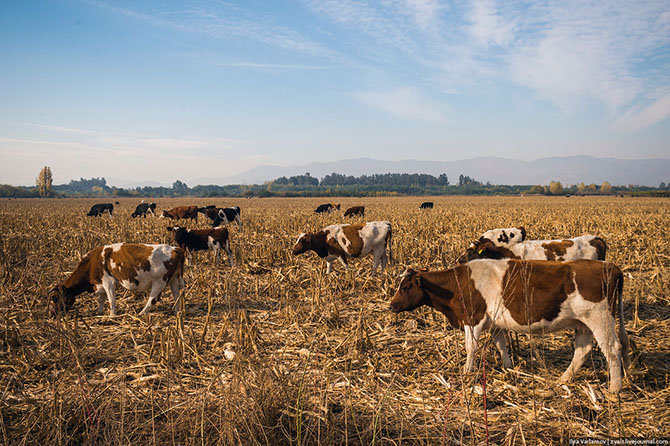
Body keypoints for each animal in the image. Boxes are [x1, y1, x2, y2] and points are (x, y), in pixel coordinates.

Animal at [49, 244, 186, 318]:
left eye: (55, 298)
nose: (52, 314)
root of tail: (174, 249)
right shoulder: (101, 284)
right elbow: (101, 299)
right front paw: (98, 311)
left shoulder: (108, 282)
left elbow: (111, 299)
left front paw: (111, 315)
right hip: (174, 279)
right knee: (176, 295)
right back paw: (176, 311)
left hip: (159, 281)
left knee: (152, 300)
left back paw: (140, 313)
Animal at [392, 260, 632, 392]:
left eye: (405, 287)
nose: (391, 305)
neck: (459, 283)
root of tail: (610, 266)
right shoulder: (495, 323)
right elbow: (502, 346)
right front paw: (508, 368)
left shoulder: (473, 319)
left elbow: (471, 348)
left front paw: (466, 372)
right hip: (583, 323)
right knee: (582, 350)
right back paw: (563, 379)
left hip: (600, 318)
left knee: (613, 350)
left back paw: (614, 389)